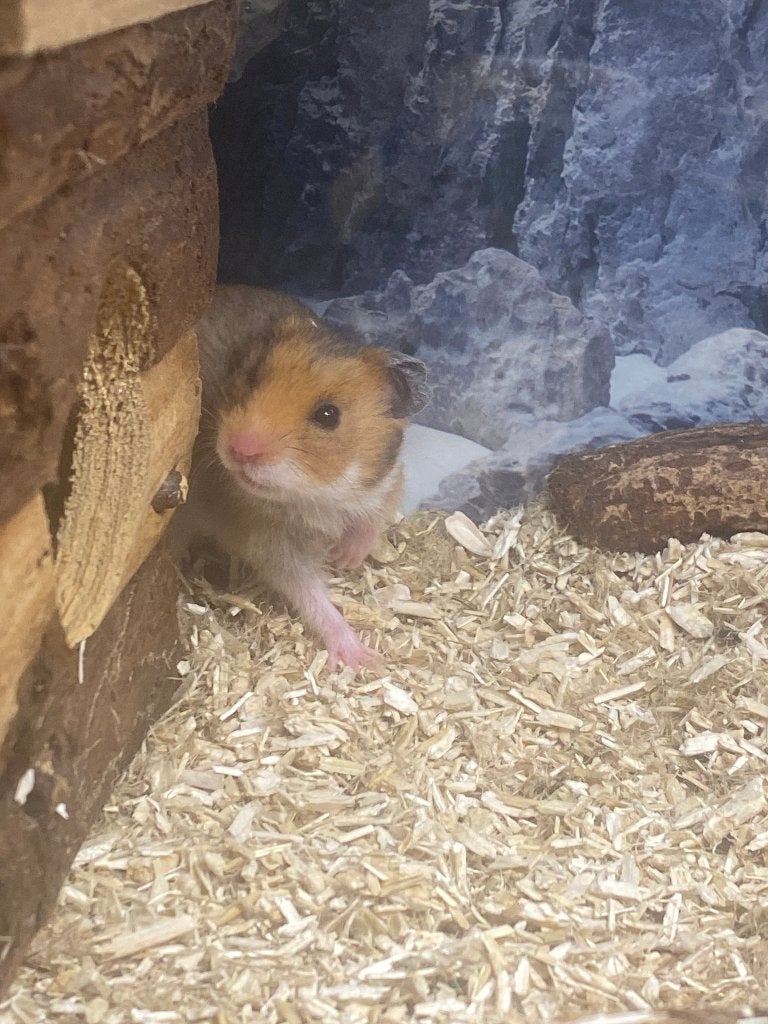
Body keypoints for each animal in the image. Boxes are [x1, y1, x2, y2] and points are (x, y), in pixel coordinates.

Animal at [179, 284, 429, 669]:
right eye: (252, 377)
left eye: (328, 415)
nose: (240, 449)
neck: (318, 494)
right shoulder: (274, 548)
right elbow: (312, 596)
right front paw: (363, 659)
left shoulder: (387, 481)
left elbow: (374, 518)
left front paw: (345, 557)